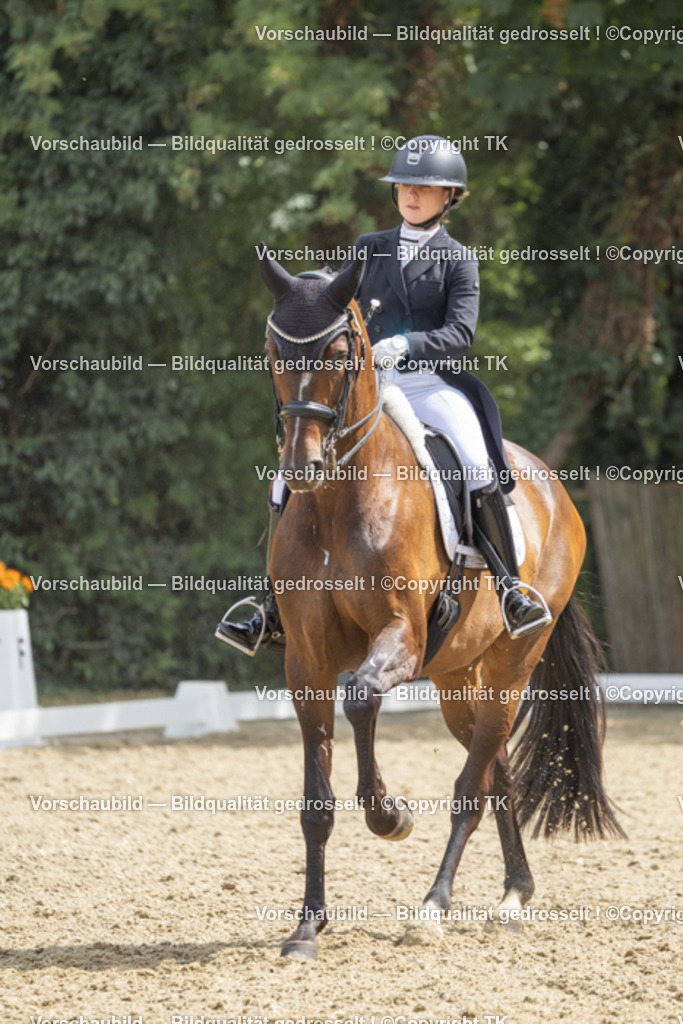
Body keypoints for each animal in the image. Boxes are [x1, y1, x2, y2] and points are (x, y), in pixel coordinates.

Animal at [255, 250, 624, 959]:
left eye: (340, 349)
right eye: (272, 350)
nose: (301, 466)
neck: (340, 501)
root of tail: (551, 484)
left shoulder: (402, 634)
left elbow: (362, 697)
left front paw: (390, 817)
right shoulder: (305, 662)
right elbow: (316, 799)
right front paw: (307, 927)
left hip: (509, 668)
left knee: (471, 787)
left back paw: (433, 906)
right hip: (458, 679)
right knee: (496, 770)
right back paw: (513, 897)